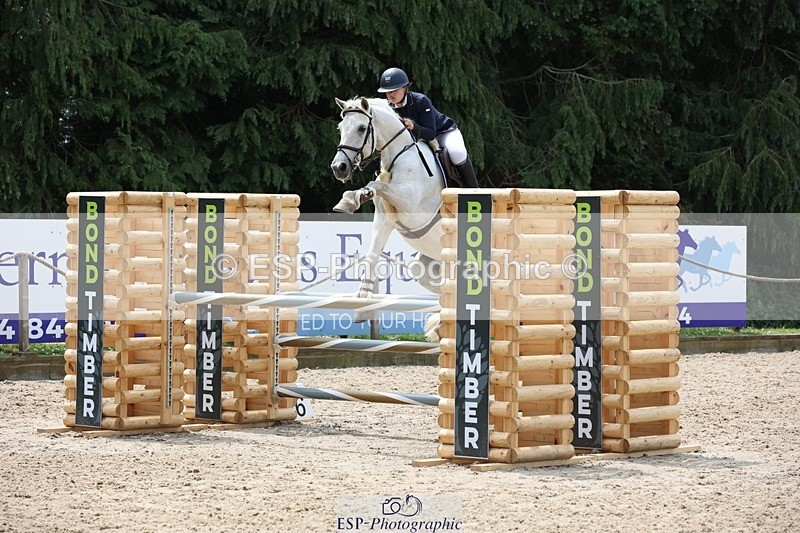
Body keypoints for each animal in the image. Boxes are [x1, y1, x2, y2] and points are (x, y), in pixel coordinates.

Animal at [329, 97, 445, 332]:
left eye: (361, 128)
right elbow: (372, 253)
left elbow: (377, 184)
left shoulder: (411, 205)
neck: (399, 154)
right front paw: (363, 298)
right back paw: (439, 327)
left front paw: (352, 197)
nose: (339, 167)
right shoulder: (383, 219)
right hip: (426, 267)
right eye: (340, 128)